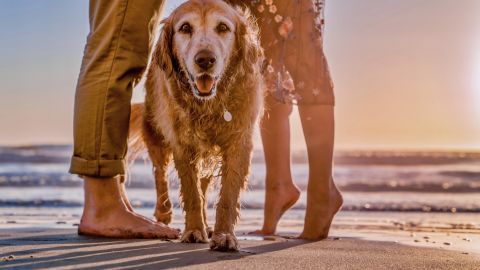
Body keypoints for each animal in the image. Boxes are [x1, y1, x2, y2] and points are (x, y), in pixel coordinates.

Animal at [127, 0, 262, 251]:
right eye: (185, 28)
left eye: (223, 27)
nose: (205, 60)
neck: (209, 104)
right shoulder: (183, 144)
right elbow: (191, 192)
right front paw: (193, 231)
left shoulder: (240, 142)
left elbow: (227, 195)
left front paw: (224, 235)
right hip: (155, 131)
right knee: (159, 172)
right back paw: (163, 213)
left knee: (204, 184)